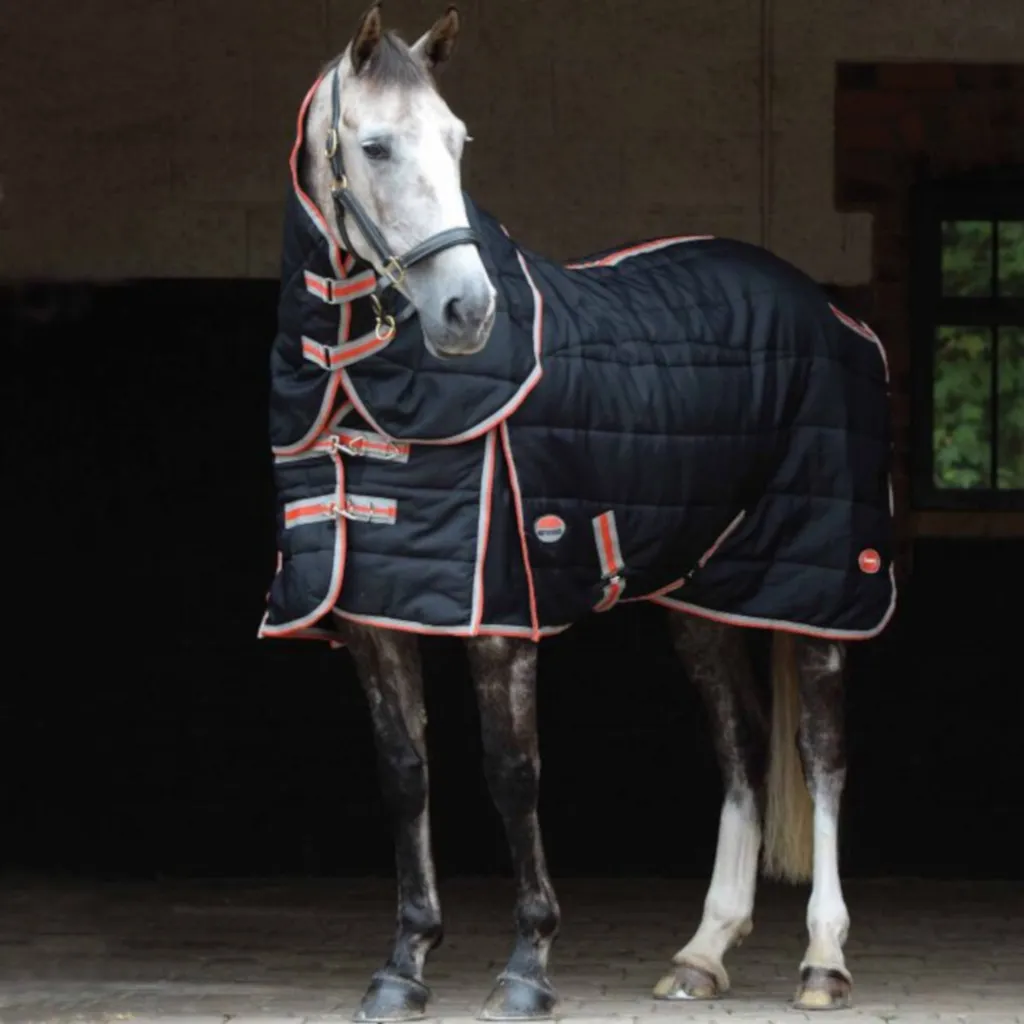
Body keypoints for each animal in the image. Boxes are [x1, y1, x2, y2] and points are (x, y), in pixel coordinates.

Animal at [259, 4, 895, 1019]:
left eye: (458, 140)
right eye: (376, 145)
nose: (467, 310)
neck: (361, 390)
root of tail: (835, 316)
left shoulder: (500, 610)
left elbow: (511, 773)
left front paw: (528, 964)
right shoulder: (373, 613)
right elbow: (405, 775)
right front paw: (405, 963)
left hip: (822, 590)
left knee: (820, 750)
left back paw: (823, 959)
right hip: (702, 597)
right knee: (743, 748)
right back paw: (702, 952)